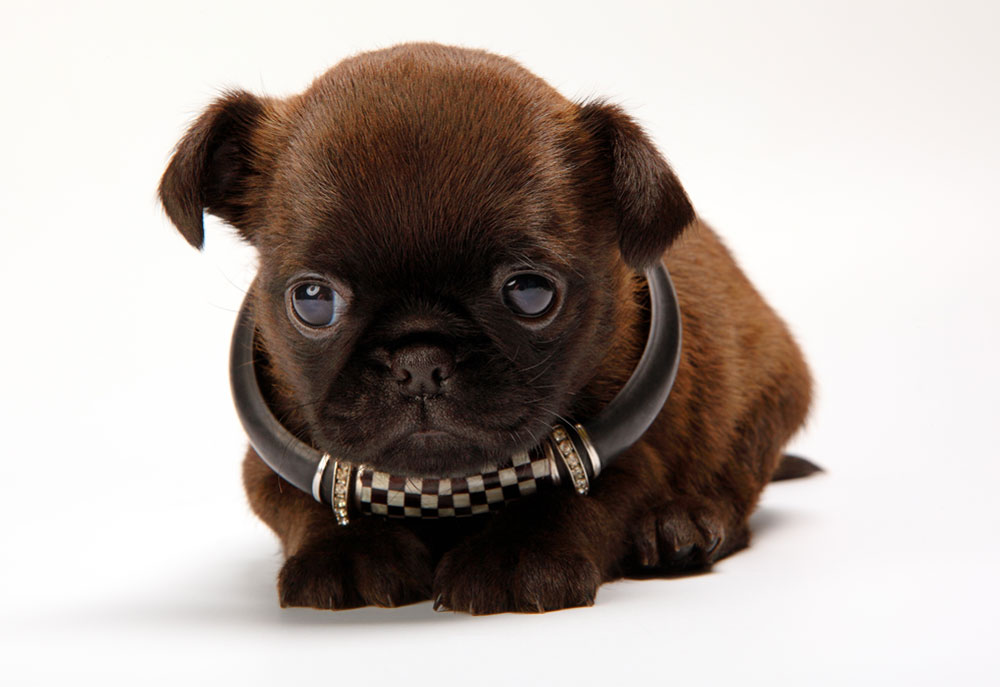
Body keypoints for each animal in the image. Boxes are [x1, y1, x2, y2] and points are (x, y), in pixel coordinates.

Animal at [156, 41, 812, 612]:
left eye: (530, 293)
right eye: (313, 302)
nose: (420, 361)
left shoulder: (634, 458)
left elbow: (584, 498)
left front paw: (517, 559)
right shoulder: (268, 468)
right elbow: (303, 502)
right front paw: (348, 550)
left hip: (767, 400)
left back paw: (684, 526)